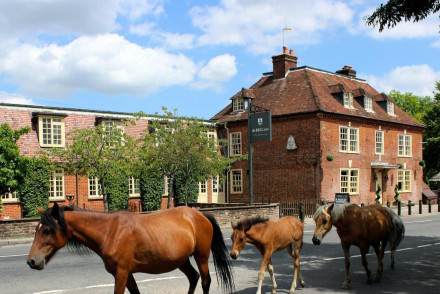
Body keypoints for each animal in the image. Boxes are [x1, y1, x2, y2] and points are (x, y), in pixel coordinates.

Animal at [26, 203, 234, 294]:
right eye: (37, 229)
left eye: (47, 230)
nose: (31, 261)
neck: (110, 231)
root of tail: (200, 215)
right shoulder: (127, 274)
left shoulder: (121, 273)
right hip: (181, 260)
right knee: (193, 277)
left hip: (201, 256)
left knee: (205, 280)